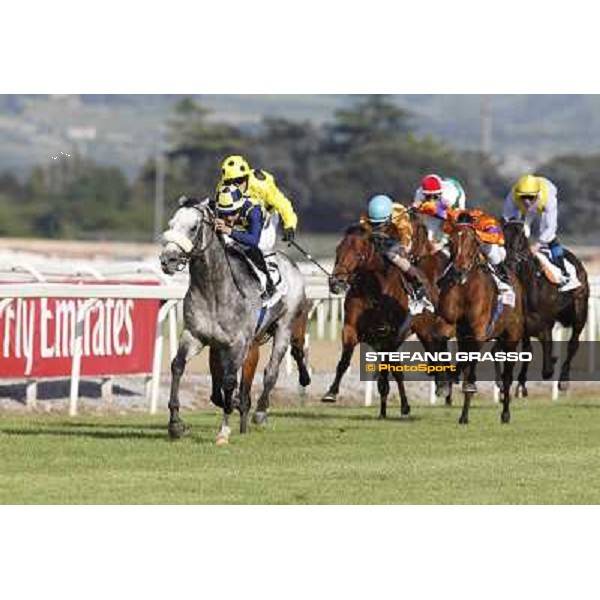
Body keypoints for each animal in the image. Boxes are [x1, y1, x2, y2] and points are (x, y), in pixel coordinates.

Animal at [159, 198, 310, 446]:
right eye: (171, 224)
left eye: (193, 227)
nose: (167, 260)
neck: (214, 290)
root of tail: (290, 262)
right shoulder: (196, 336)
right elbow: (178, 366)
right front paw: (175, 424)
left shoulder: (238, 343)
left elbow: (229, 382)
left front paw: (224, 430)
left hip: (285, 327)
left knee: (271, 371)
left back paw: (260, 412)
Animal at [434, 218, 524, 424]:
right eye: (450, 242)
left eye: (474, 242)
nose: (458, 272)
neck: (465, 289)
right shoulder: (448, 323)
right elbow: (442, 341)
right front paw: (445, 382)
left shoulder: (479, 332)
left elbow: (471, 368)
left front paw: (466, 385)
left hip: (511, 337)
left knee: (507, 376)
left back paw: (505, 413)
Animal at [504, 220, 588, 394]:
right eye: (503, 239)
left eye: (520, 240)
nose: (509, 263)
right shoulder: (524, 326)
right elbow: (527, 351)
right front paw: (521, 384)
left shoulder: (546, 325)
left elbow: (547, 368)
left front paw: (553, 363)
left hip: (580, 311)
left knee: (573, 344)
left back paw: (563, 380)